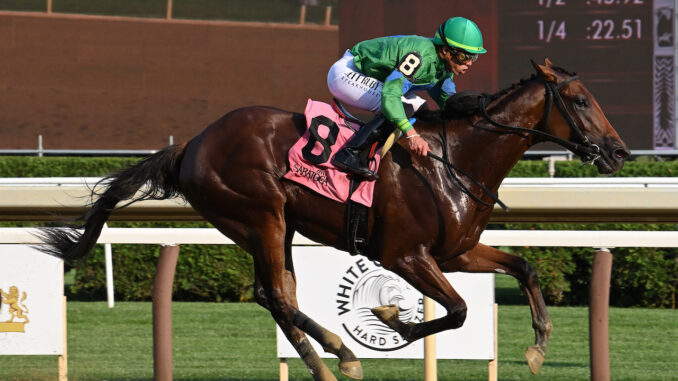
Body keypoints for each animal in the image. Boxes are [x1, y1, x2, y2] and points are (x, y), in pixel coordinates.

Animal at [39, 58, 628, 378]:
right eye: (579, 100)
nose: (619, 153)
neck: (455, 159)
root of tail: (192, 145)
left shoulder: (456, 252)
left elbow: (525, 268)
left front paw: (537, 348)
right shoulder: (404, 255)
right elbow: (457, 311)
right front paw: (393, 321)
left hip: (272, 227)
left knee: (276, 295)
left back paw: (326, 364)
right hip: (262, 216)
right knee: (277, 296)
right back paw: (343, 353)